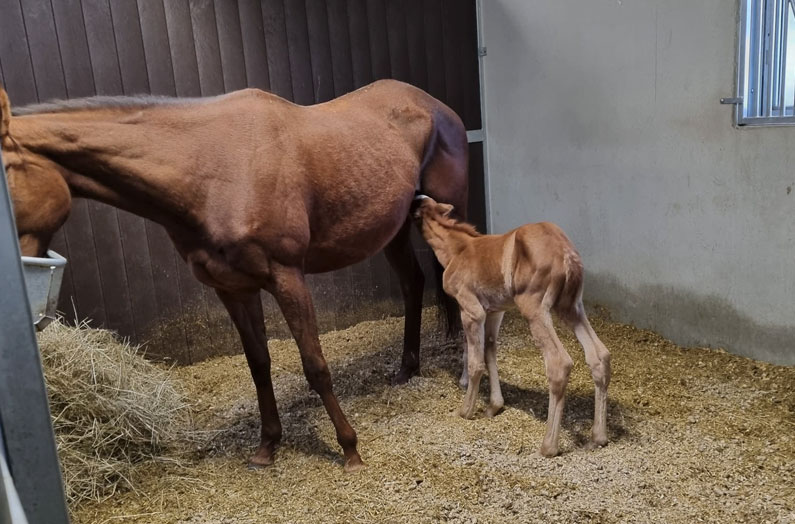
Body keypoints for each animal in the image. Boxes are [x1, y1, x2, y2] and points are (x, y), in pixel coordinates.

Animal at [0, 79, 469, 472]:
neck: (211, 167)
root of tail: (434, 104)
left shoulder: (287, 278)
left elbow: (315, 365)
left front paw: (349, 448)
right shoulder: (234, 289)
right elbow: (258, 364)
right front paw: (267, 445)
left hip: (446, 211)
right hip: (393, 229)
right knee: (413, 284)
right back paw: (407, 368)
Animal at [412, 196, 611, 457]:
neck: (456, 250)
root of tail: (567, 255)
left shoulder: (471, 309)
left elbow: (475, 361)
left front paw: (465, 410)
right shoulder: (496, 310)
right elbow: (490, 351)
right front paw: (494, 406)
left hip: (534, 307)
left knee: (559, 362)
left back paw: (548, 446)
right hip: (571, 307)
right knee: (599, 355)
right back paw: (598, 437)